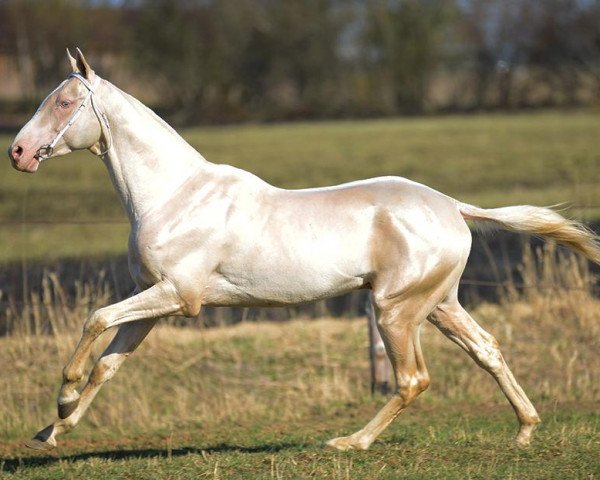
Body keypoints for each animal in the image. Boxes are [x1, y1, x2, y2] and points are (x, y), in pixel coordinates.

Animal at [8, 50, 600, 452]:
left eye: (64, 102)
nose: (18, 152)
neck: (175, 195)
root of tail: (454, 207)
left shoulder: (178, 296)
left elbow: (94, 319)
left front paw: (62, 400)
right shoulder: (153, 299)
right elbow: (109, 363)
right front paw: (53, 429)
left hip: (395, 310)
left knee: (413, 380)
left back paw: (349, 443)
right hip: (439, 305)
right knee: (487, 350)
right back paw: (525, 431)